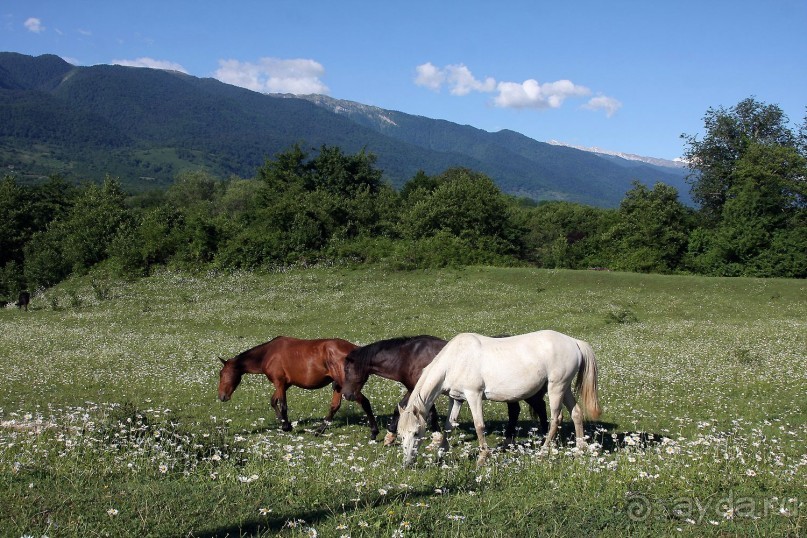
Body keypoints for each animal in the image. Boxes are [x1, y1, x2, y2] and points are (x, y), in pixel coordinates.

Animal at [218, 336, 382, 440]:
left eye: (222, 374)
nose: (221, 396)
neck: (268, 353)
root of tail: (355, 349)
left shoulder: (279, 382)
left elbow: (283, 405)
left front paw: (286, 426)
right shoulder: (285, 384)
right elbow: (273, 401)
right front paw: (284, 422)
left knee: (364, 402)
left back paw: (374, 432)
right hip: (339, 386)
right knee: (335, 406)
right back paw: (319, 431)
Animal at [340, 336, 548, 444]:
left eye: (348, 370)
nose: (347, 395)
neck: (408, 356)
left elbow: (429, 413)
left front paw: (436, 437)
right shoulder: (413, 388)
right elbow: (400, 407)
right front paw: (390, 435)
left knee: (539, 408)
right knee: (518, 410)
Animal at [398, 328, 600, 462]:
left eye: (416, 432)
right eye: (400, 434)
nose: (407, 463)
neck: (456, 359)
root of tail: (574, 342)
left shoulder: (473, 395)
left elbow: (479, 426)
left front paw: (482, 457)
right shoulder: (456, 399)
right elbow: (449, 425)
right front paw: (442, 454)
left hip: (556, 388)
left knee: (556, 418)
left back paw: (543, 451)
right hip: (564, 388)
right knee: (576, 413)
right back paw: (580, 449)